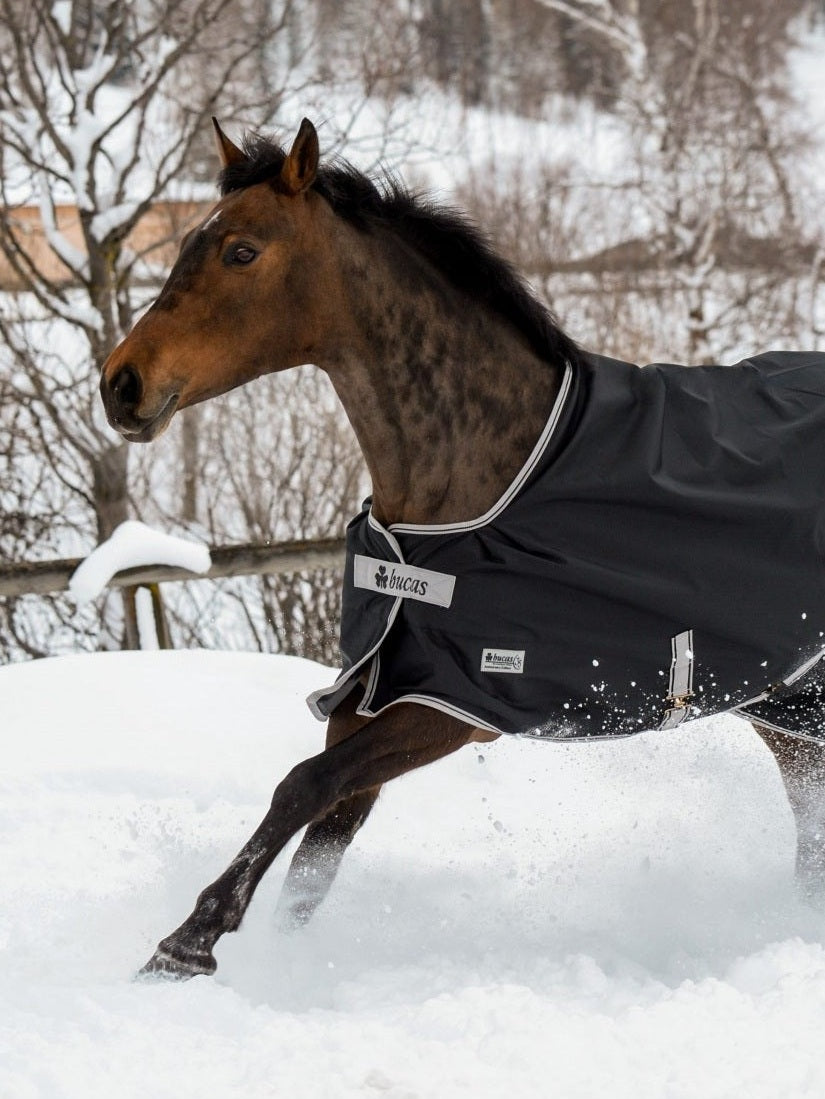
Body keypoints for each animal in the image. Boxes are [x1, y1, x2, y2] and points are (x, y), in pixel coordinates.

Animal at [100, 118, 825, 980]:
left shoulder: (453, 705)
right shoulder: (374, 692)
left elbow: (301, 787)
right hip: (788, 712)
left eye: (242, 251)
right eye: (186, 242)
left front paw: (188, 941)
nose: (121, 385)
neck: (479, 480)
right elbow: (320, 848)